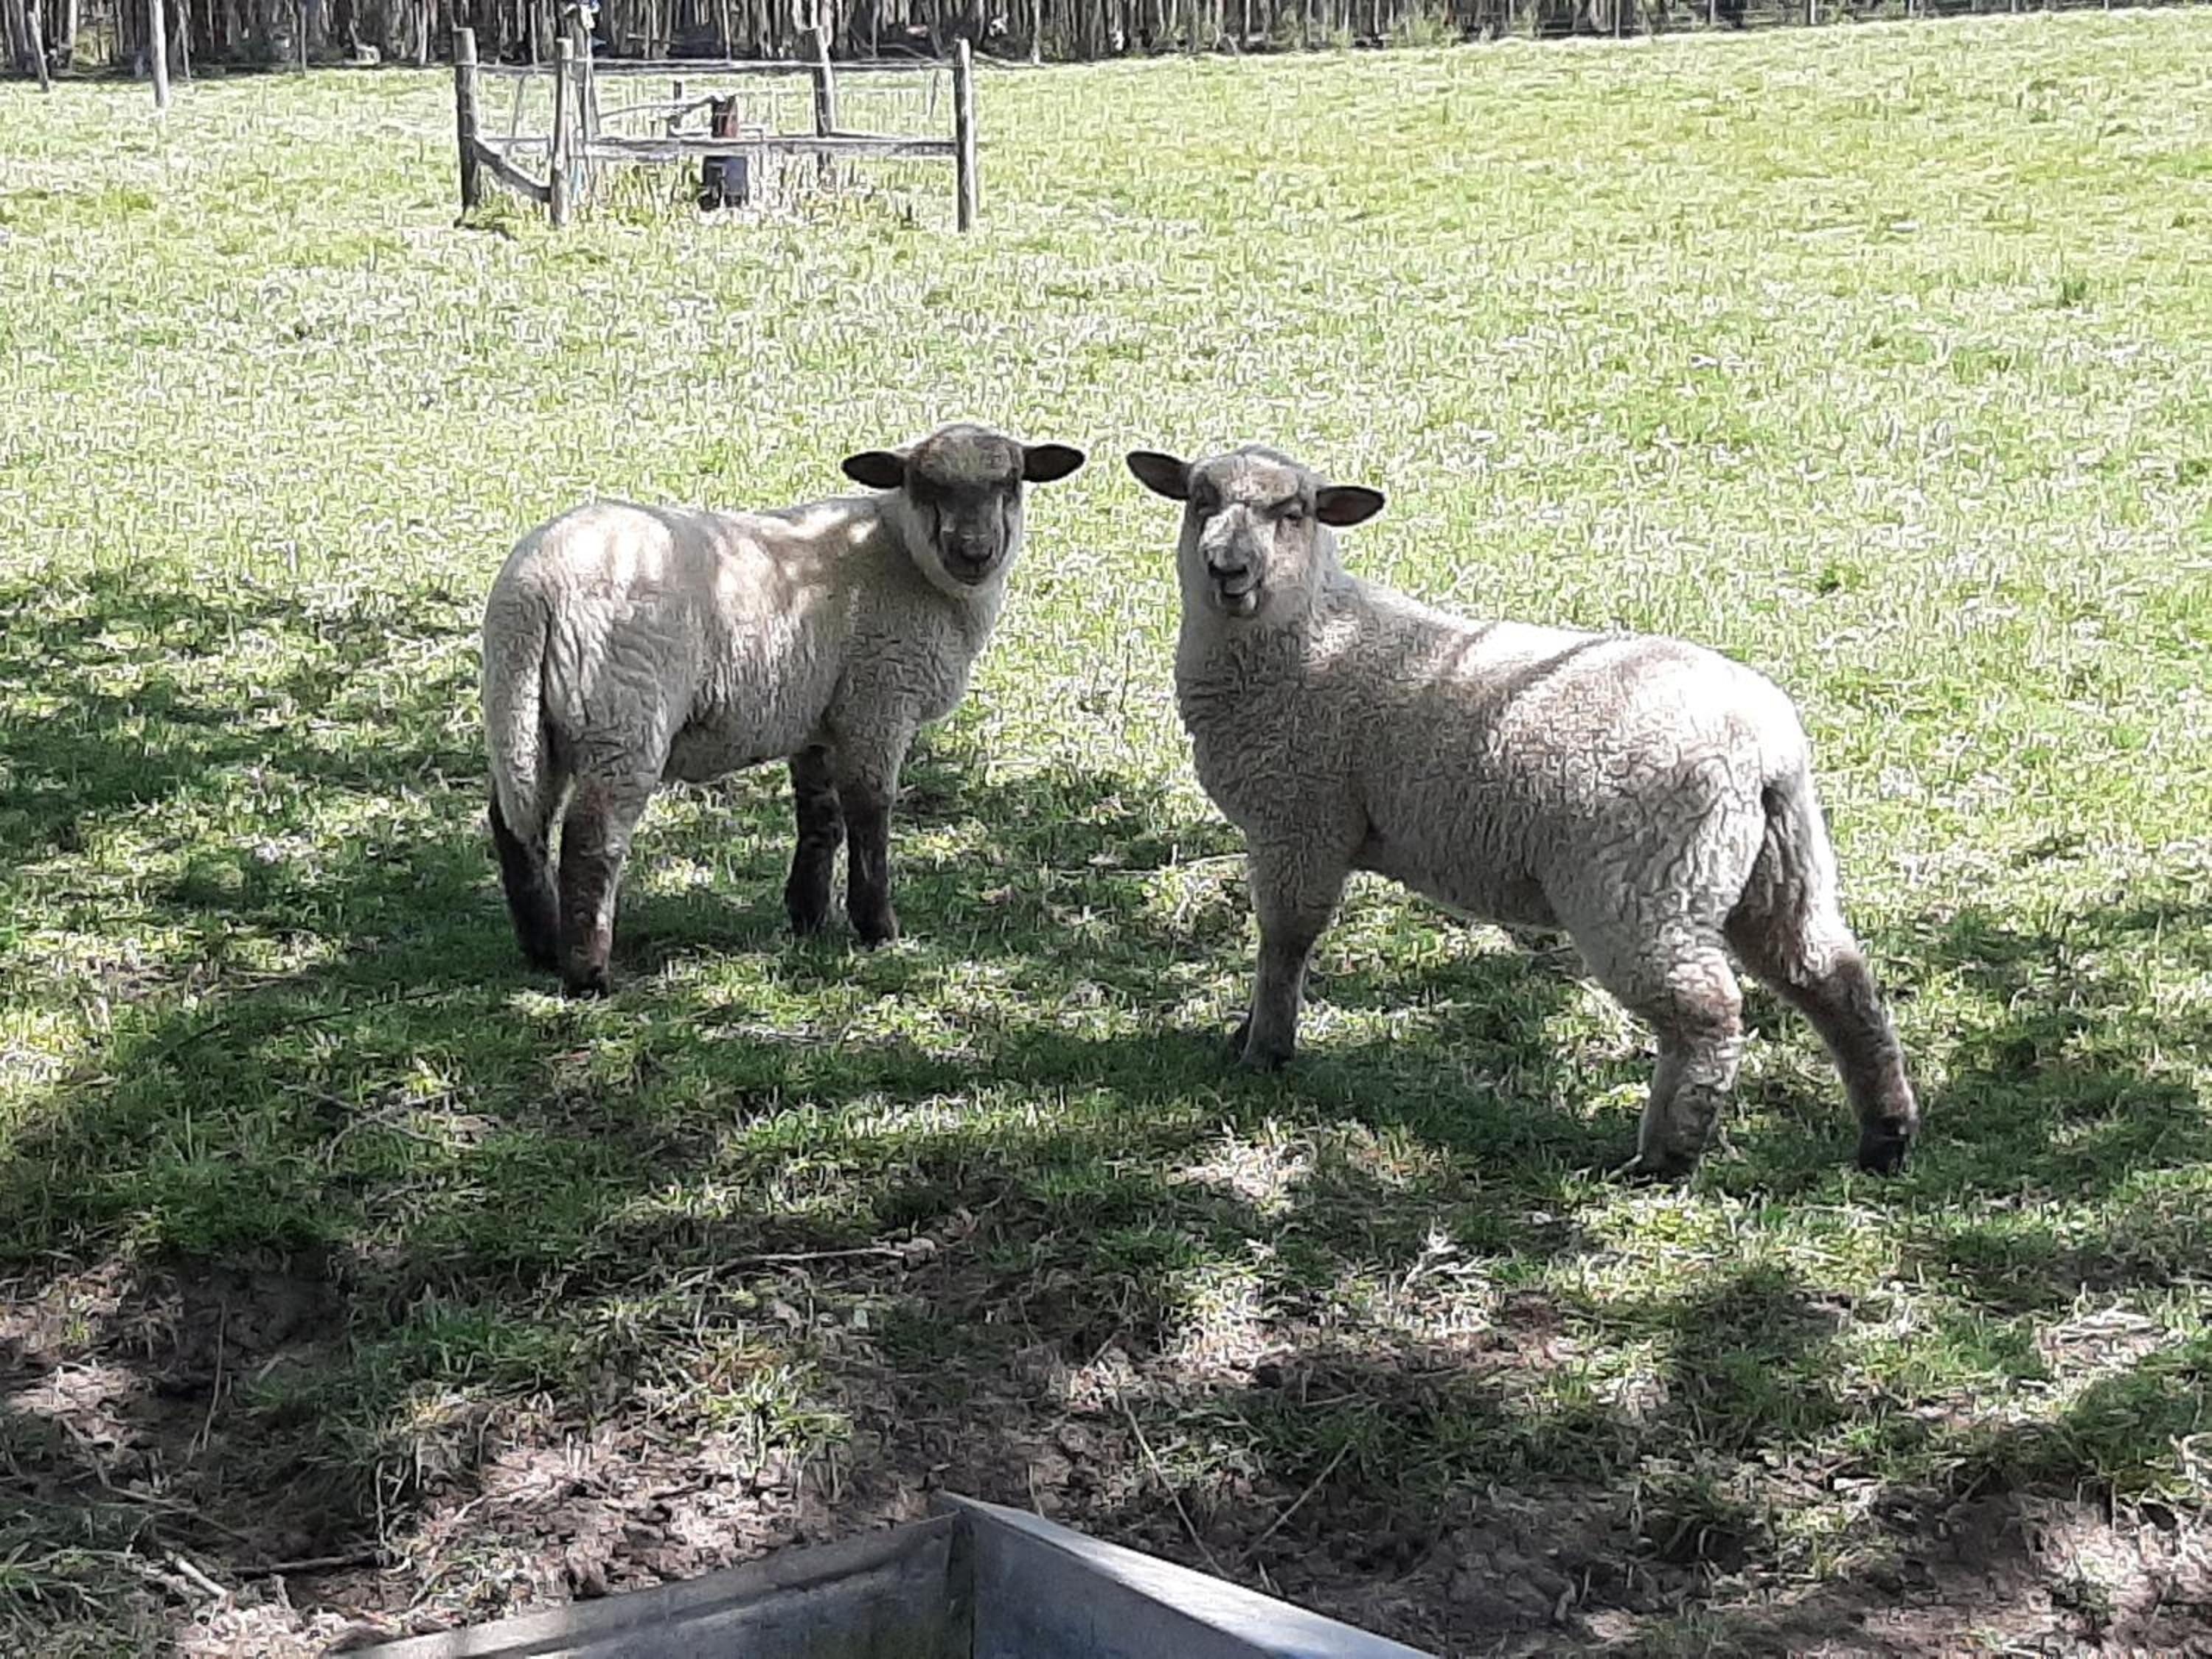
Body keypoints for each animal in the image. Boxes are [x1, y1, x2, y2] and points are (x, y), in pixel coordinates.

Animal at [481, 422, 1087, 995]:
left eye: (1010, 482)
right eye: (924, 484)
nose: (975, 552)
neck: (904, 555)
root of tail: (532, 589)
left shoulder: (819, 717)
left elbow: (820, 816)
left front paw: (809, 916)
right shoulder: (878, 702)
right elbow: (870, 811)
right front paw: (877, 927)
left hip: (524, 714)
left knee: (516, 821)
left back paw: (542, 947)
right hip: (623, 712)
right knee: (591, 838)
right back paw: (589, 976)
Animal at [1125, 443, 1919, 1177]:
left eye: (1294, 513)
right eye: (1200, 500)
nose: (1228, 569)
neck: (1309, 639)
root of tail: (1763, 746)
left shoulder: (1302, 825)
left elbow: (1284, 943)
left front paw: (1264, 1049)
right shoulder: (1302, 828)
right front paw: (1248, 1035)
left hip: (1642, 885)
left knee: (1706, 1013)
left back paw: (1664, 1157)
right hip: (1778, 871)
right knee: (1834, 978)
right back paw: (1885, 1135)